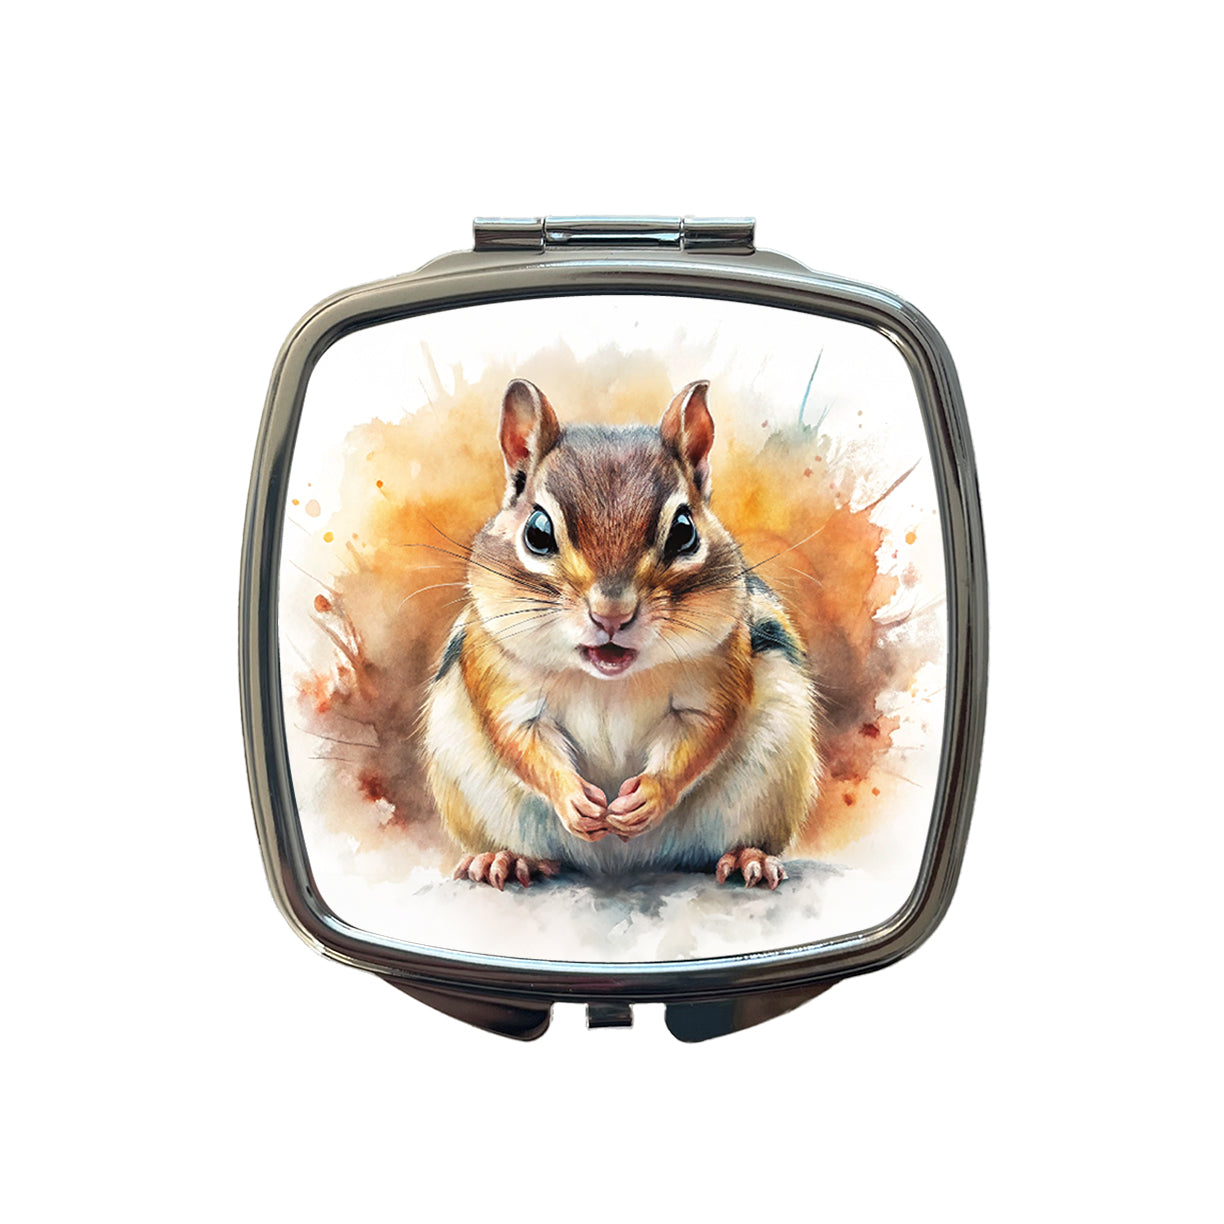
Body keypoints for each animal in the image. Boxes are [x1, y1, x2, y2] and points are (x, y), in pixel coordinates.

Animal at [422, 378, 821, 890]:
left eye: (685, 530)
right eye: (537, 531)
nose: (612, 614)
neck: (609, 680)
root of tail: (619, 867)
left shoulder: (716, 677)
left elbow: (703, 733)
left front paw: (648, 795)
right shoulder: (502, 680)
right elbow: (521, 741)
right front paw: (574, 798)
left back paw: (745, 857)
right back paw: (506, 859)